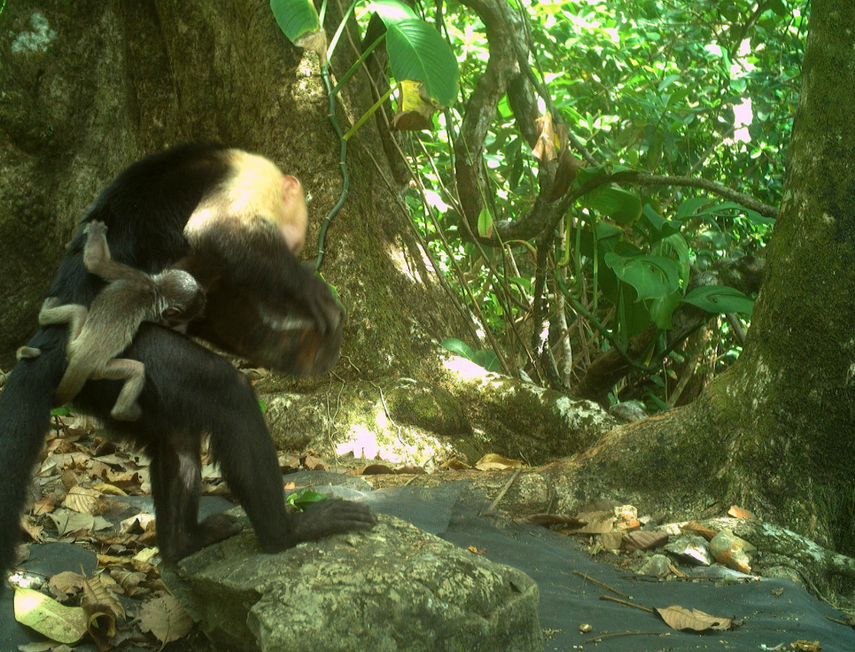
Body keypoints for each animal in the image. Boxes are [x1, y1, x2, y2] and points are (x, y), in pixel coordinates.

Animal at [35, 220, 207, 421]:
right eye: (198, 304)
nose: (204, 302)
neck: (155, 289)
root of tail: (80, 359)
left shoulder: (133, 275)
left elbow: (97, 264)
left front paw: (95, 234)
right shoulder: (154, 309)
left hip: (72, 345)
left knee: (78, 310)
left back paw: (44, 315)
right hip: (101, 370)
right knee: (137, 371)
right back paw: (125, 412)